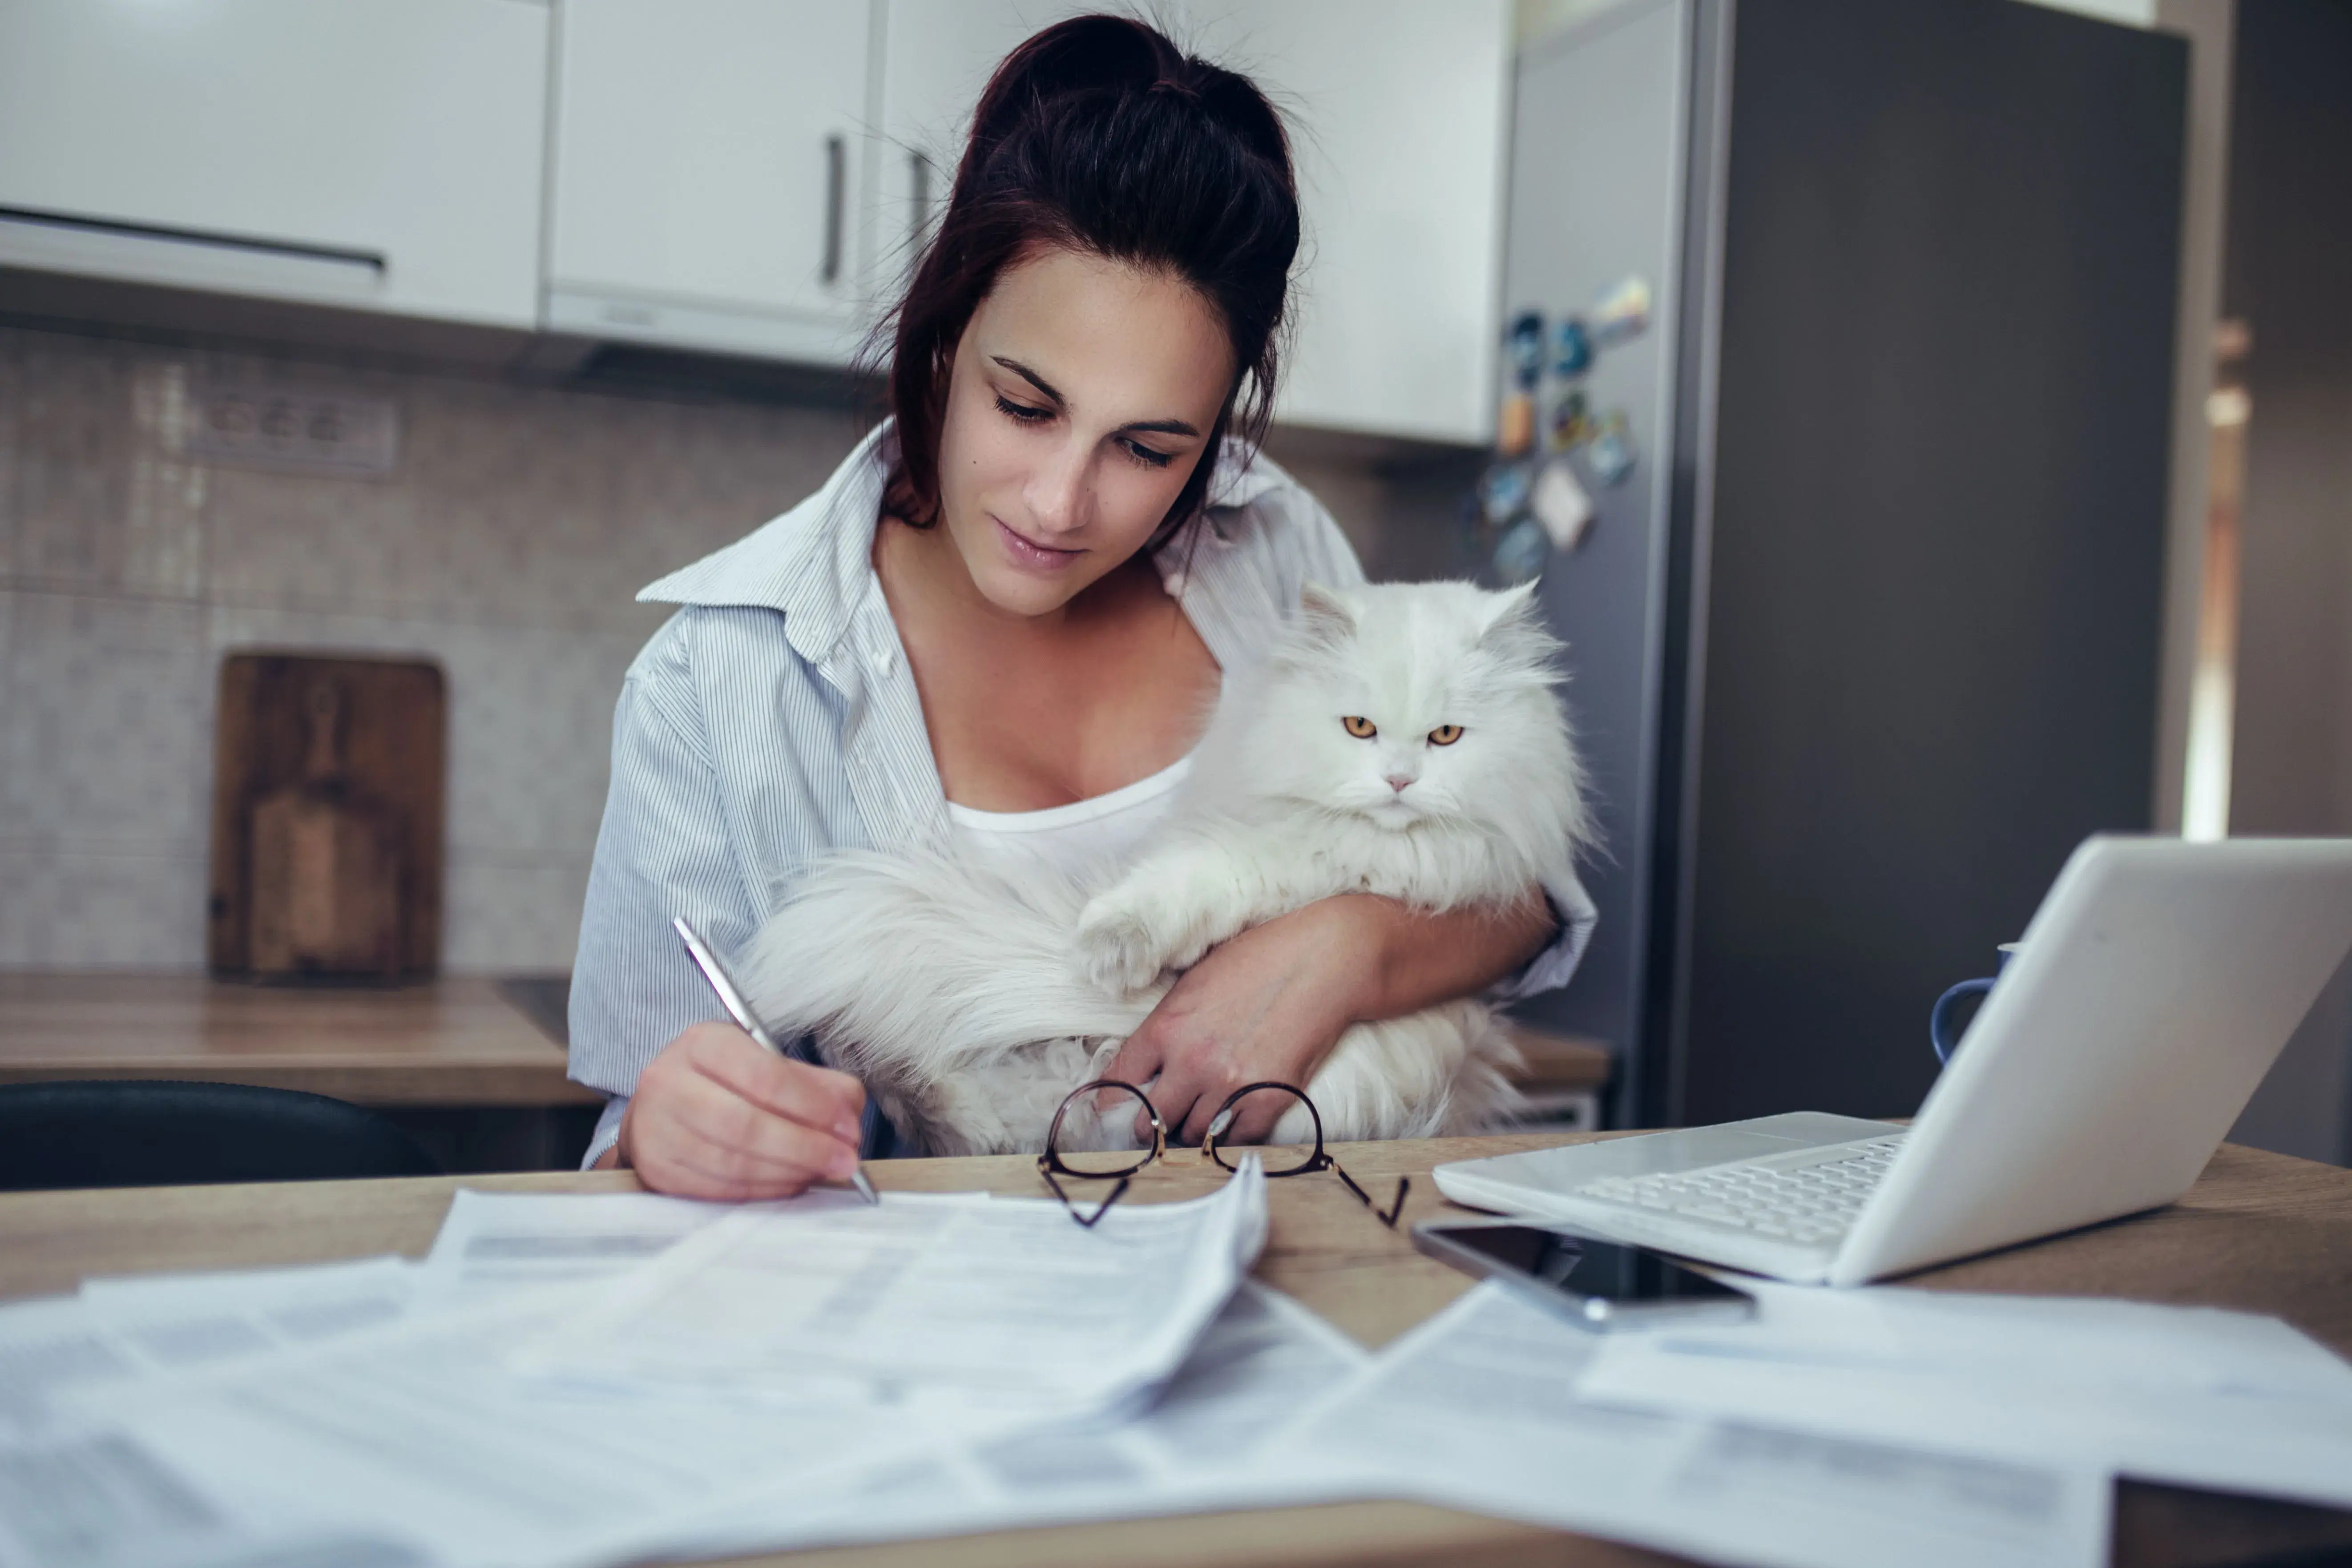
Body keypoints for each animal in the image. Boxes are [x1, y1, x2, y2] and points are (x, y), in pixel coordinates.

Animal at [743, 583, 1590, 1161]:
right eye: (1359, 727)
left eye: (1446, 737)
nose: (1399, 782)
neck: (1355, 846)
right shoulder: (1251, 848)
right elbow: (1171, 890)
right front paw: (1112, 949)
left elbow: (1207, 885)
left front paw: (1112, 955)